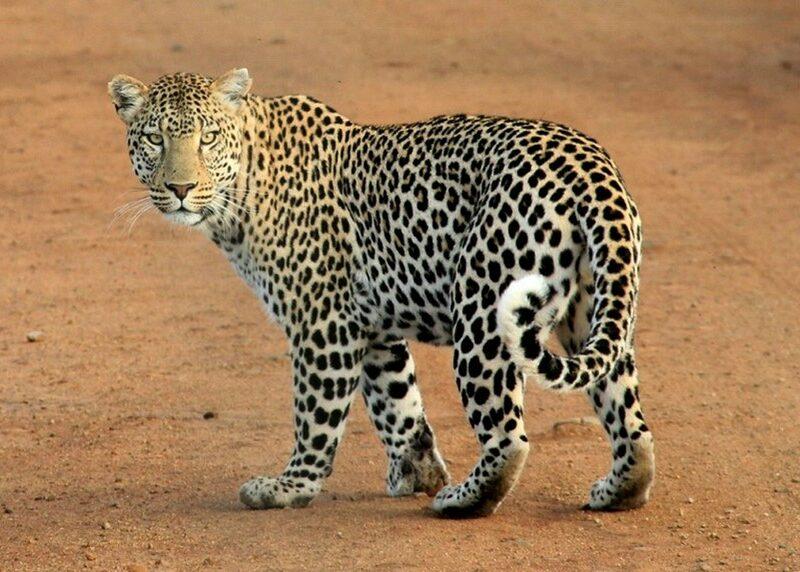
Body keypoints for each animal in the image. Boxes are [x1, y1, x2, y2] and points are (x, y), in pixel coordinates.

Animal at [108, 68, 655, 518]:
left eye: (207, 138)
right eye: (155, 139)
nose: (180, 189)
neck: (243, 189)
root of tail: (591, 168)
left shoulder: (323, 322)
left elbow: (316, 414)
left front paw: (291, 487)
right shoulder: (372, 326)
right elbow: (398, 404)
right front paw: (417, 471)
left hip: (482, 312)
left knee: (508, 437)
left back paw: (462, 500)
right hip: (594, 309)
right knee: (630, 420)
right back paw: (618, 491)